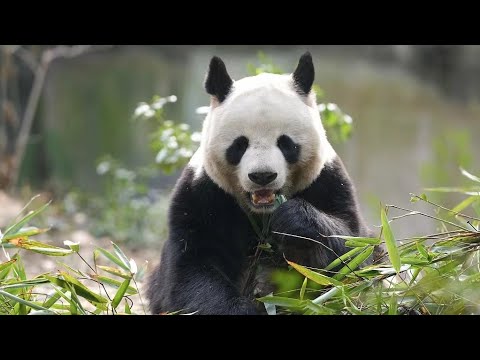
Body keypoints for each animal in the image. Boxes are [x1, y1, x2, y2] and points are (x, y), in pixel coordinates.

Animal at [146, 52, 376, 314]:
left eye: (286, 143)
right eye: (240, 144)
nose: (263, 176)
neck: (261, 214)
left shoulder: (328, 182)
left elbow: (352, 250)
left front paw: (292, 220)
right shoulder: (202, 194)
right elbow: (192, 269)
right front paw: (244, 308)